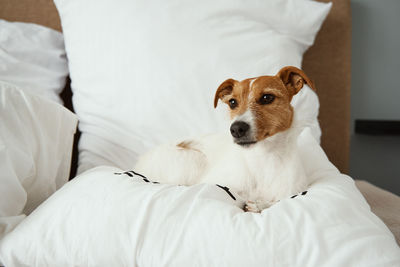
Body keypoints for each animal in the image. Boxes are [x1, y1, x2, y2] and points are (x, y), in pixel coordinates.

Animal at [134, 66, 316, 214]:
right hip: (192, 159)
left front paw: (259, 205)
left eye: (267, 98)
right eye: (232, 102)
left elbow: (276, 202)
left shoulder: (292, 193)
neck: (262, 159)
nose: (236, 129)